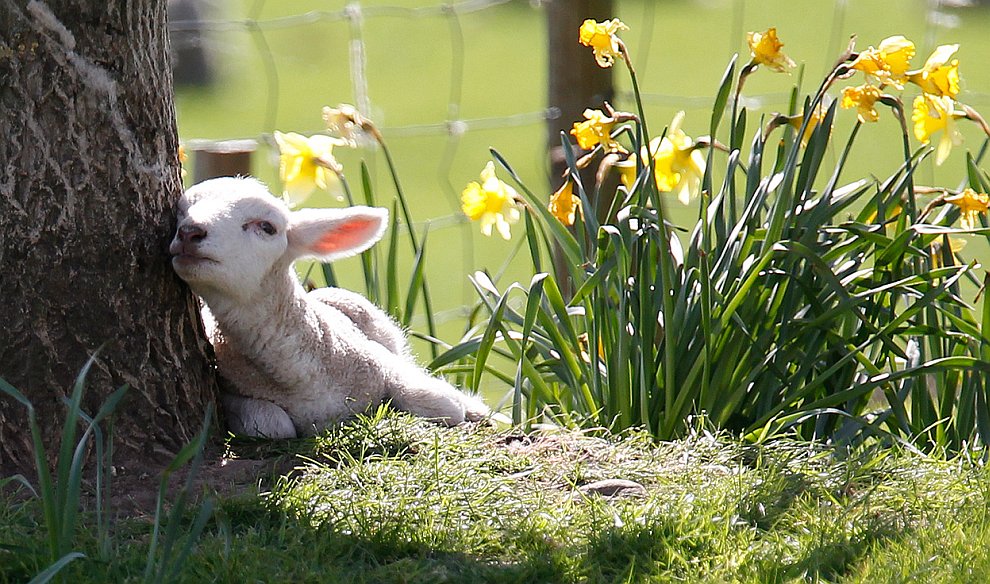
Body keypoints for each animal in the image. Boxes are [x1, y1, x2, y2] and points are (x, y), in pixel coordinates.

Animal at [171, 177, 496, 438]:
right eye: (180, 213)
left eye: (267, 227)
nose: (189, 232)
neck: (302, 376)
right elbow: (272, 424)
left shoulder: (381, 361)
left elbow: (441, 403)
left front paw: (465, 408)